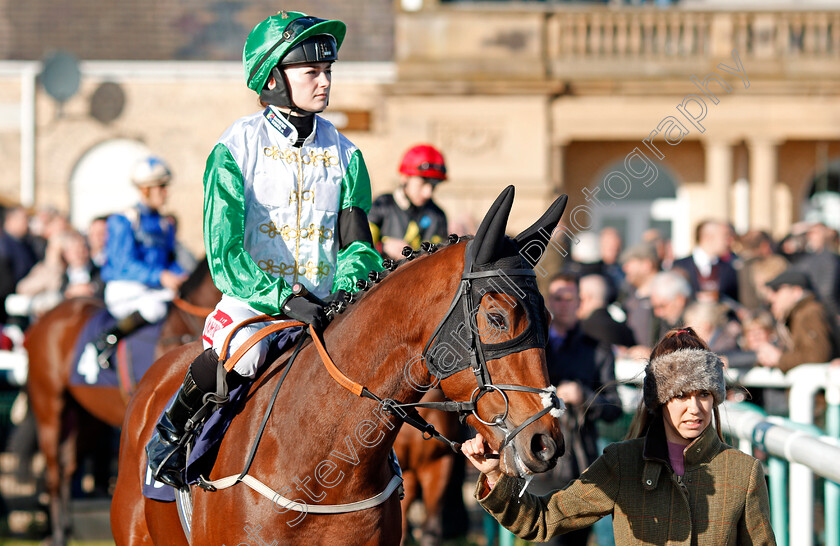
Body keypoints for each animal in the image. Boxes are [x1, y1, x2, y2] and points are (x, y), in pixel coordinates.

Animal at [24, 258, 220, 540]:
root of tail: (45, 316)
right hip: (49, 406)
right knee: (54, 473)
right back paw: (59, 534)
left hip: (88, 420)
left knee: (68, 467)